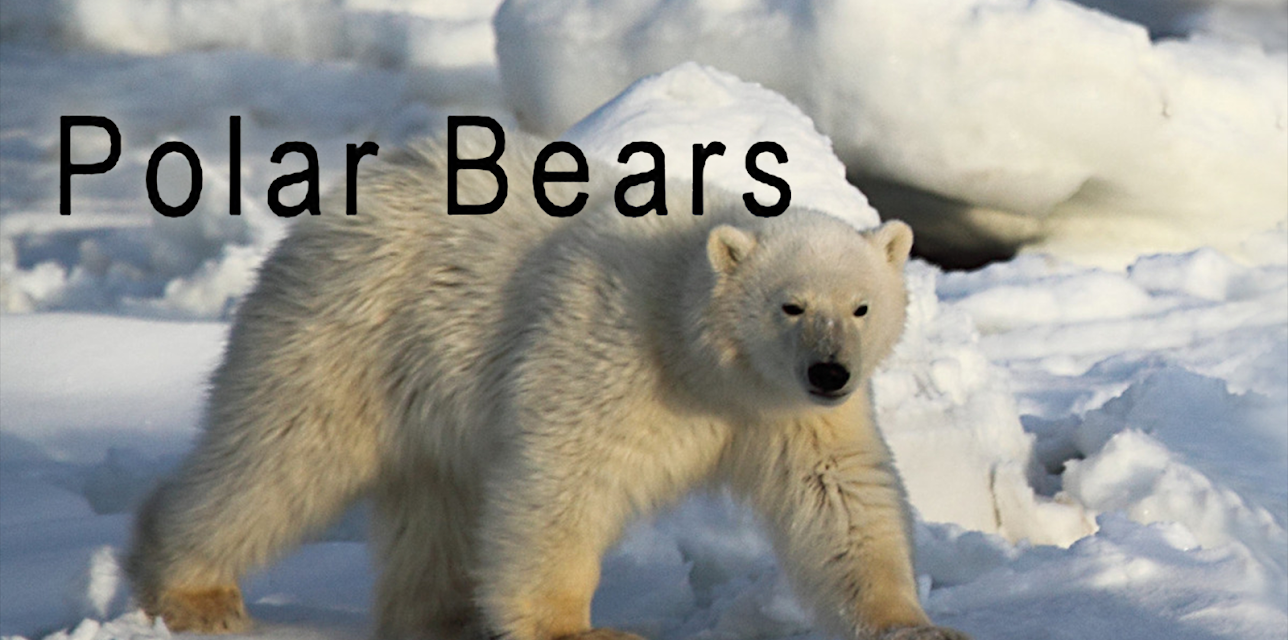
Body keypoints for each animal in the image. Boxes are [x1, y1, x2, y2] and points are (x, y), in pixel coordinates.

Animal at [126, 129, 971, 640]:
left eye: (861, 306)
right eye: (790, 305)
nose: (830, 370)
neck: (696, 346)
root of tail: (329, 209)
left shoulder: (793, 415)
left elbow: (841, 501)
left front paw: (917, 622)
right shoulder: (611, 354)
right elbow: (565, 475)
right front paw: (579, 626)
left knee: (433, 509)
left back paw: (440, 618)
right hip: (347, 334)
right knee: (277, 461)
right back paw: (192, 590)